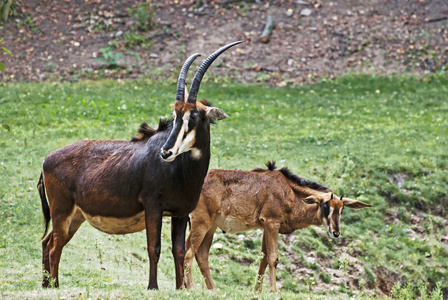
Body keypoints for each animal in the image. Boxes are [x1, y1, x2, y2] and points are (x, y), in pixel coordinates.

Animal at [36, 41, 243, 290]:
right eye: (175, 115)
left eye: (193, 116)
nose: (166, 152)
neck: (182, 172)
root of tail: (47, 159)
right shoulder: (153, 207)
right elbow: (154, 248)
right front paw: (153, 287)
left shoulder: (181, 213)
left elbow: (179, 250)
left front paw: (179, 288)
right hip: (62, 210)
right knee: (55, 246)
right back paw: (55, 286)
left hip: (75, 215)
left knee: (48, 242)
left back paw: (46, 286)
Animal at [186, 162, 372, 292]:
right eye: (326, 206)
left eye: (341, 209)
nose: (336, 232)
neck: (289, 191)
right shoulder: (271, 223)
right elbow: (273, 258)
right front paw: (273, 291)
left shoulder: (265, 227)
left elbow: (263, 258)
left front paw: (257, 291)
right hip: (201, 223)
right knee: (190, 252)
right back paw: (191, 287)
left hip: (210, 227)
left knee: (200, 254)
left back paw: (211, 289)